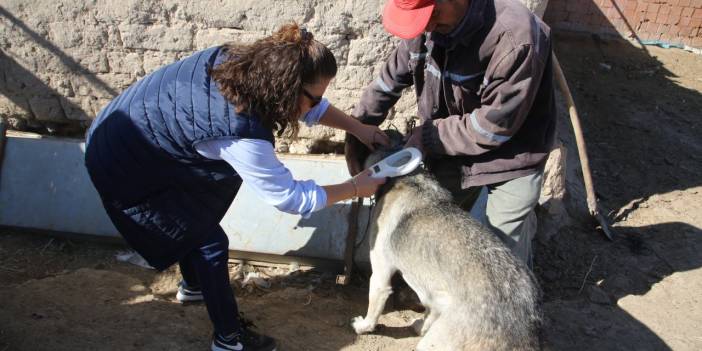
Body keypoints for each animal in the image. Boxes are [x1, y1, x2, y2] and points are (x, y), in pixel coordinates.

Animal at [352, 133, 544, 351]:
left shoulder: (380, 275)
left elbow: (373, 308)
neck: (407, 177)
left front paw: (363, 326)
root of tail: (524, 324)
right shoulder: (434, 294)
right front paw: (420, 326)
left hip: (433, 343)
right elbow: (429, 313)